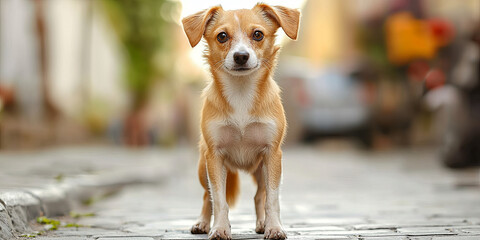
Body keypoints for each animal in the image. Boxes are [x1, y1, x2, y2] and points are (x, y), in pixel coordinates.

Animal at [181, 3, 298, 240]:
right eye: (222, 36)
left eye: (258, 34)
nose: (241, 56)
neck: (241, 92)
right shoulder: (214, 157)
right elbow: (219, 200)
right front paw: (219, 228)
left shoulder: (272, 155)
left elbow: (272, 199)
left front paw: (274, 227)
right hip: (203, 168)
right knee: (207, 197)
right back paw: (202, 223)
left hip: (261, 170)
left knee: (259, 196)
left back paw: (262, 223)